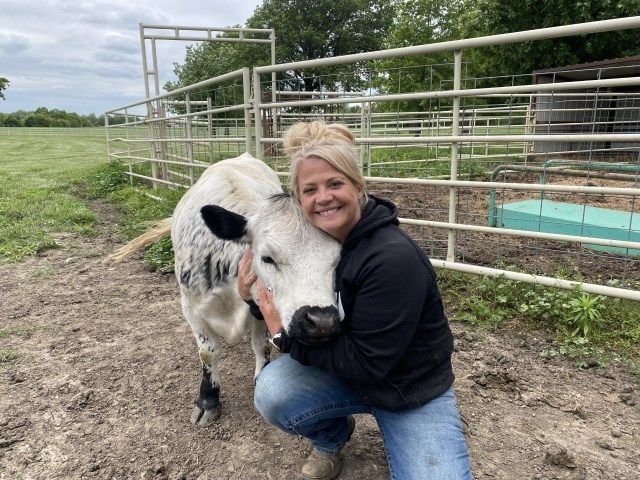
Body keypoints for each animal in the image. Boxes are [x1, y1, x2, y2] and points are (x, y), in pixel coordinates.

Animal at [109, 153, 342, 427]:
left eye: (337, 258)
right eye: (267, 258)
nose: (322, 321)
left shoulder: (260, 308)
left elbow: (260, 345)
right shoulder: (191, 308)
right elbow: (208, 353)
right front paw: (207, 400)